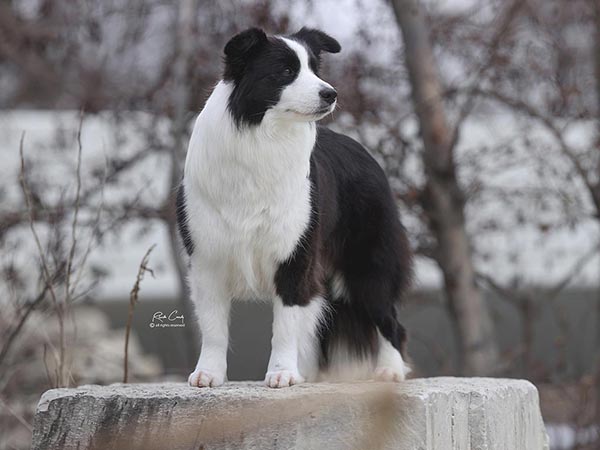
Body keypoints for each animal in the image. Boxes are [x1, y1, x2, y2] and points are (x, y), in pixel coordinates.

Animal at [177, 27, 412, 386]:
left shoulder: (296, 255)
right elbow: (214, 327)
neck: (265, 138)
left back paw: (390, 371)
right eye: (286, 71)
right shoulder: (208, 258)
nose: (330, 93)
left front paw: (283, 373)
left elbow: (286, 325)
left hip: (369, 266)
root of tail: (367, 156)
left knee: (390, 320)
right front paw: (208, 373)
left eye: (315, 68)